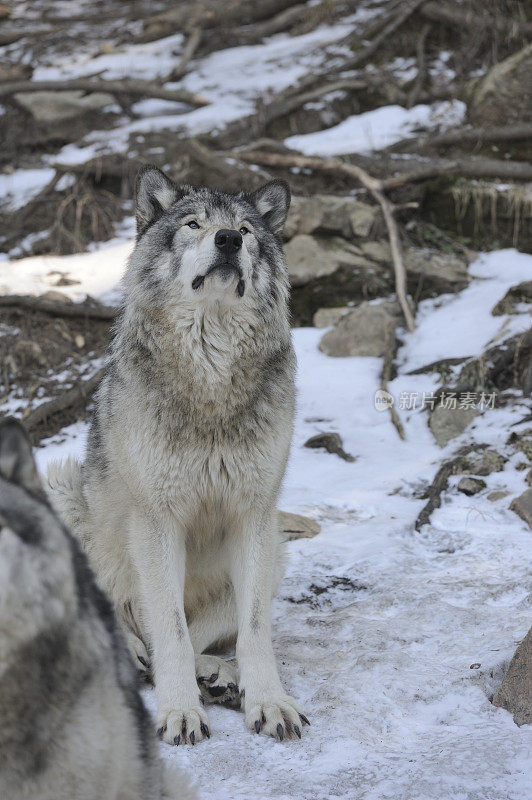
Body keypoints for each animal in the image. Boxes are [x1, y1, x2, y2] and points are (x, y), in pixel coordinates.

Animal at [48, 166, 310, 748]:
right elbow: (168, 627)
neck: (210, 378)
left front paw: (268, 702)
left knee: (196, 637)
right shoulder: (156, 519)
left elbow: (252, 631)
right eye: (193, 224)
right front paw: (180, 713)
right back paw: (136, 658)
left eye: (246, 230)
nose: (228, 240)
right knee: (122, 625)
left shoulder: (254, 514)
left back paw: (218, 677)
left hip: (278, 550)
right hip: (61, 490)